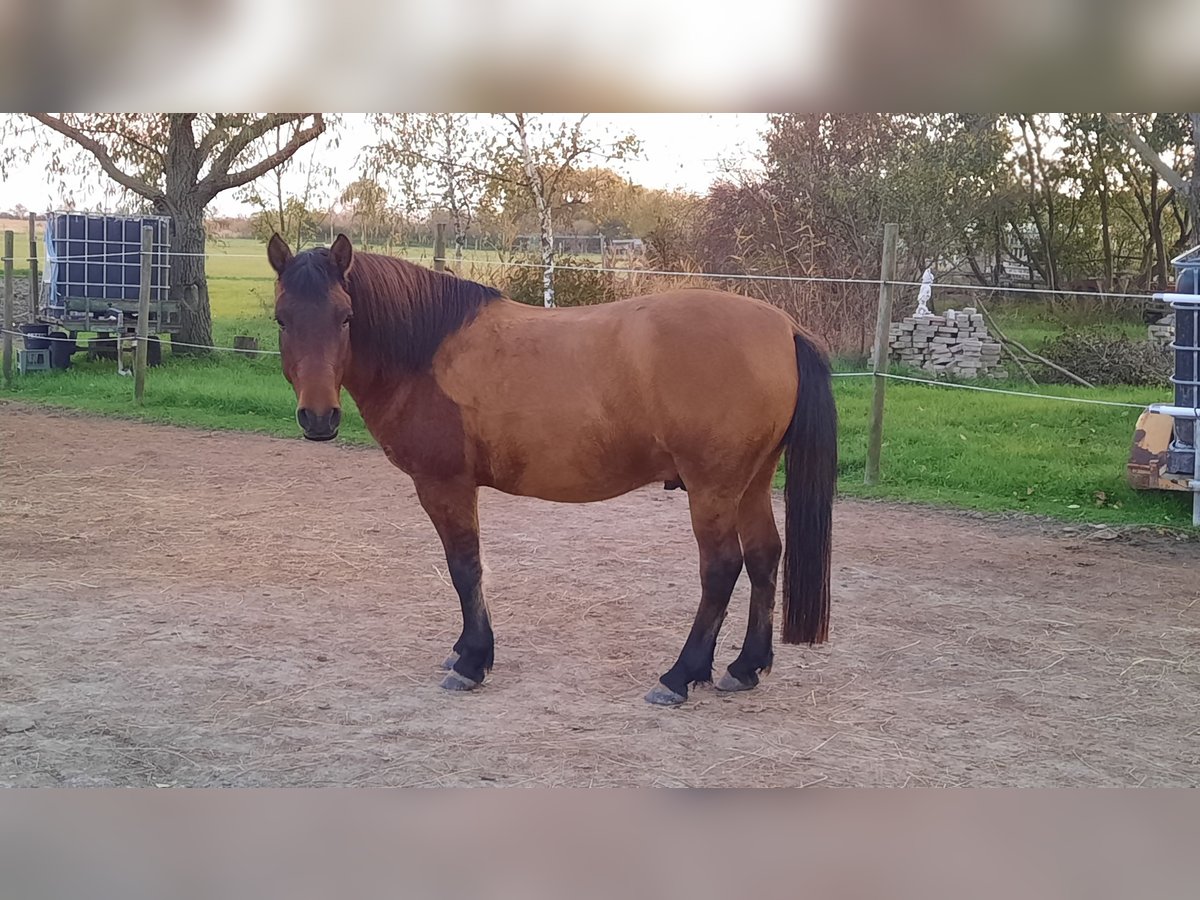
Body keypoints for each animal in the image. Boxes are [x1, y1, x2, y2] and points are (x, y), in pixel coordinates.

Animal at [270, 234, 835, 710]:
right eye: (281, 319)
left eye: (346, 317)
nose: (318, 418)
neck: (427, 352)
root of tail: (783, 327)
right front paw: (464, 650)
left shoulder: (444, 485)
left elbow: (465, 568)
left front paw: (472, 661)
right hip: (751, 483)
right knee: (763, 557)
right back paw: (745, 667)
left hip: (713, 488)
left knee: (721, 569)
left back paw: (678, 676)